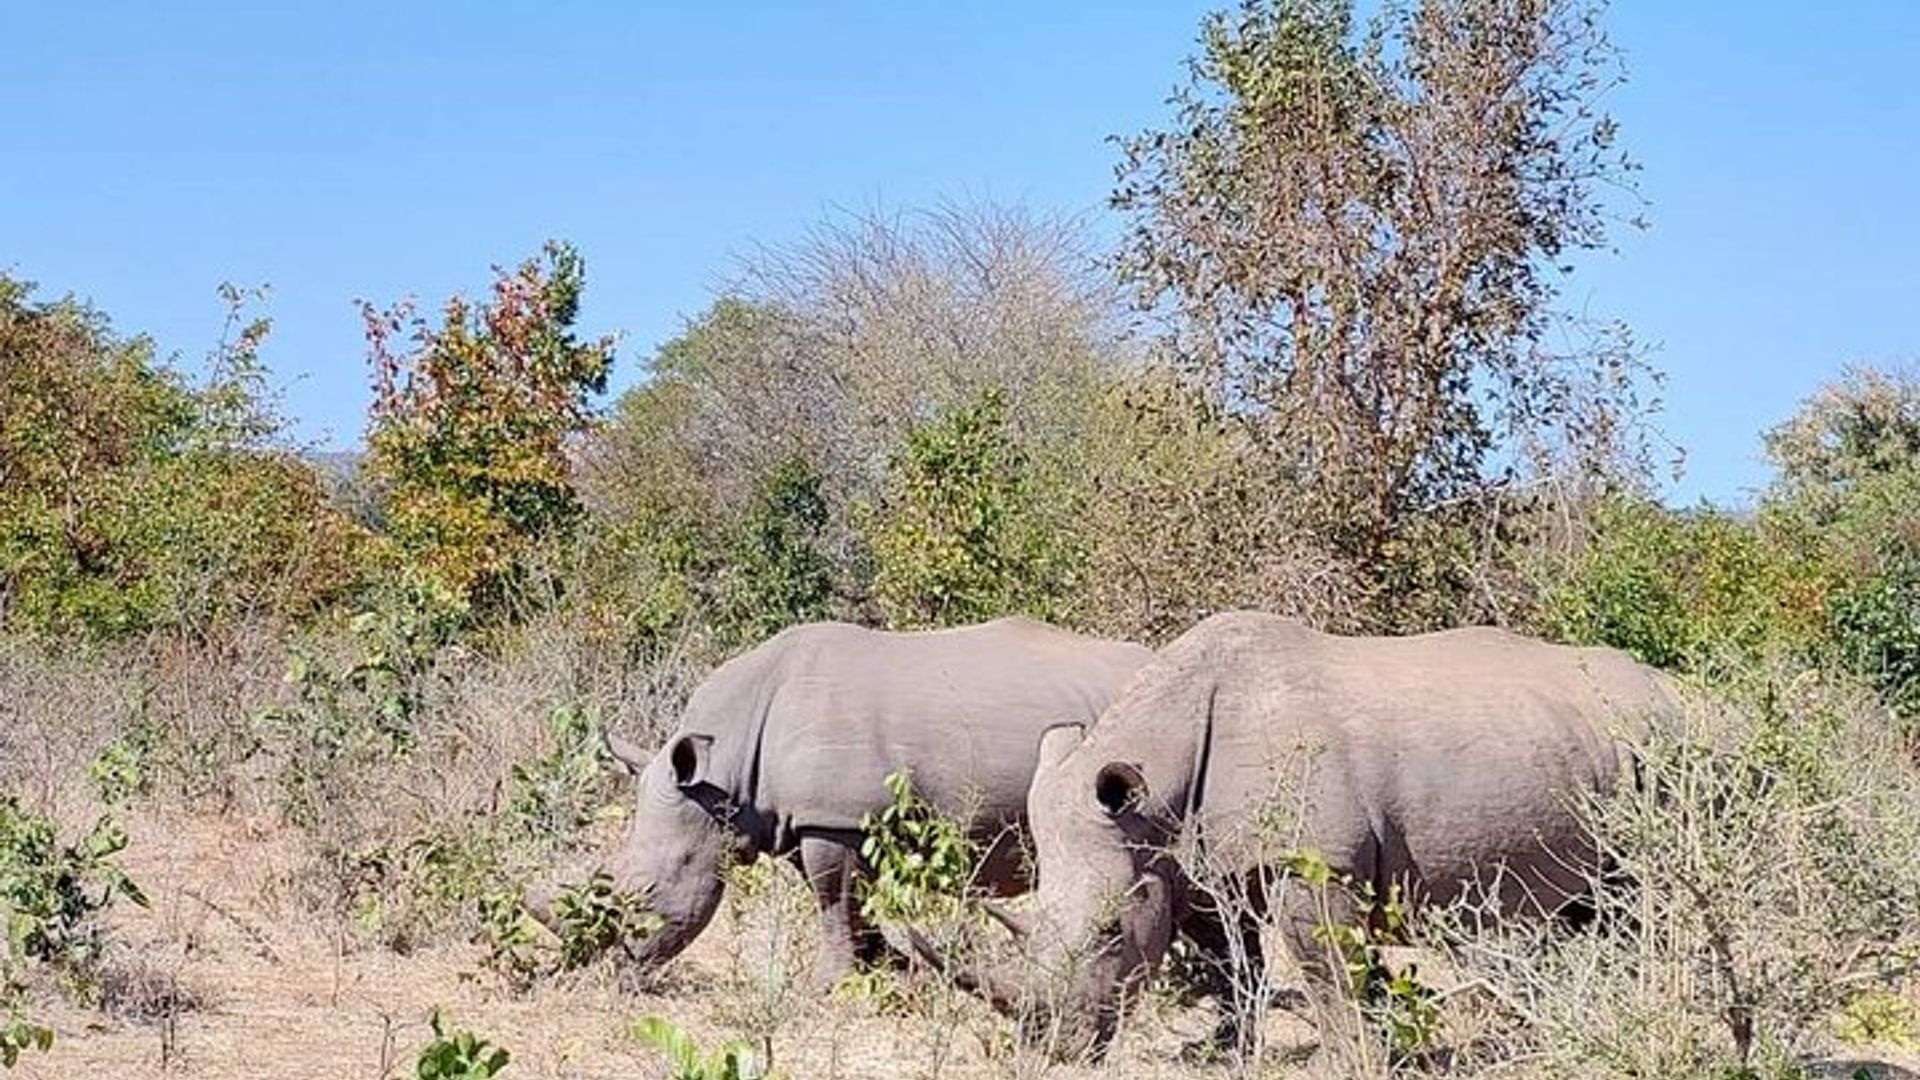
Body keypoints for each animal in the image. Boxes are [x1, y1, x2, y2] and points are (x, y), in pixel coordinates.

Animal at [555, 617, 1152, 983]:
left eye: (648, 891)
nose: (615, 970)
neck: (723, 771)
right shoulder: (810, 818)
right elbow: (845, 901)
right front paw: (881, 967)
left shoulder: (834, 819)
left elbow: (832, 902)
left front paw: (830, 985)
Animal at [942, 612, 1678, 1059]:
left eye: (1107, 934)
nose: (1047, 1049)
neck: (1158, 780)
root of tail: (1679, 690)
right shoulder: (1190, 862)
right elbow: (1232, 961)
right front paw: (1223, 1049)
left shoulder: (1311, 860)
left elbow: (1328, 972)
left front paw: (1356, 1058)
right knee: (1591, 908)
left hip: (1667, 746)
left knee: (1649, 898)